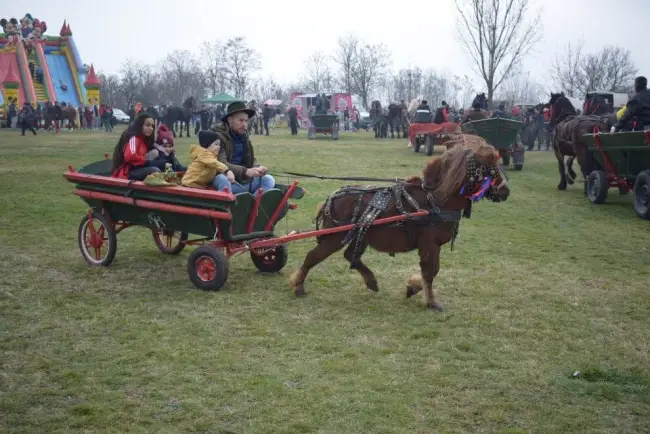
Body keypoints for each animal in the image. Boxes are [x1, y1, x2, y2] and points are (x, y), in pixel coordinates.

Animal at [288, 137, 506, 310]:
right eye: (492, 166)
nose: (506, 191)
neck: (435, 200)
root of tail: (330, 199)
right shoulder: (429, 244)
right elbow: (429, 272)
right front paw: (431, 302)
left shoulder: (434, 245)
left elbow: (433, 270)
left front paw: (413, 287)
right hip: (335, 237)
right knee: (313, 256)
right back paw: (299, 286)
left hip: (361, 234)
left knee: (351, 256)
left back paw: (371, 281)